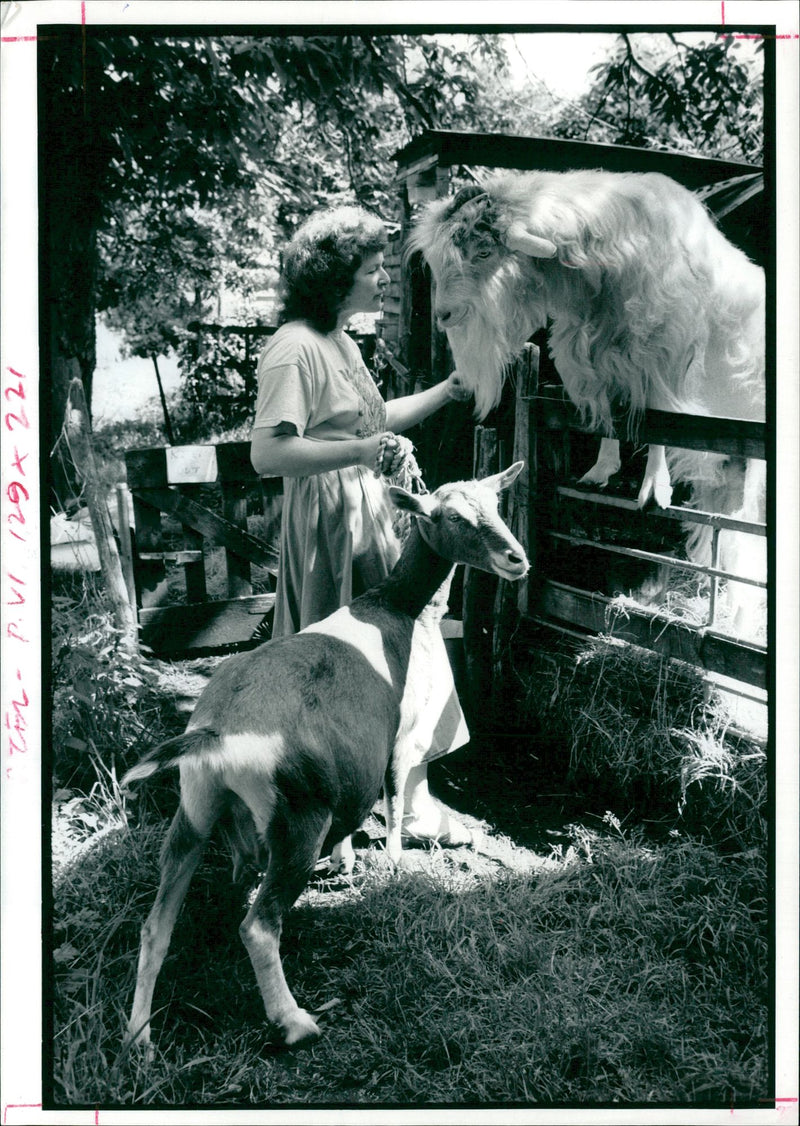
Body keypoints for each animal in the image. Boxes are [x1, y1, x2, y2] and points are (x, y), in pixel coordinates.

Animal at [122, 461, 529, 1049]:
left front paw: (346, 860)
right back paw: (294, 1021)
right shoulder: (400, 737)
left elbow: (357, 813)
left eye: (495, 505)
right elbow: (393, 795)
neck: (396, 610)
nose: (517, 559)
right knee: (259, 926)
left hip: (193, 812)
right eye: (452, 516)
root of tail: (215, 737)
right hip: (297, 820)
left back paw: (139, 1039)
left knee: (156, 925)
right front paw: (395, 863)